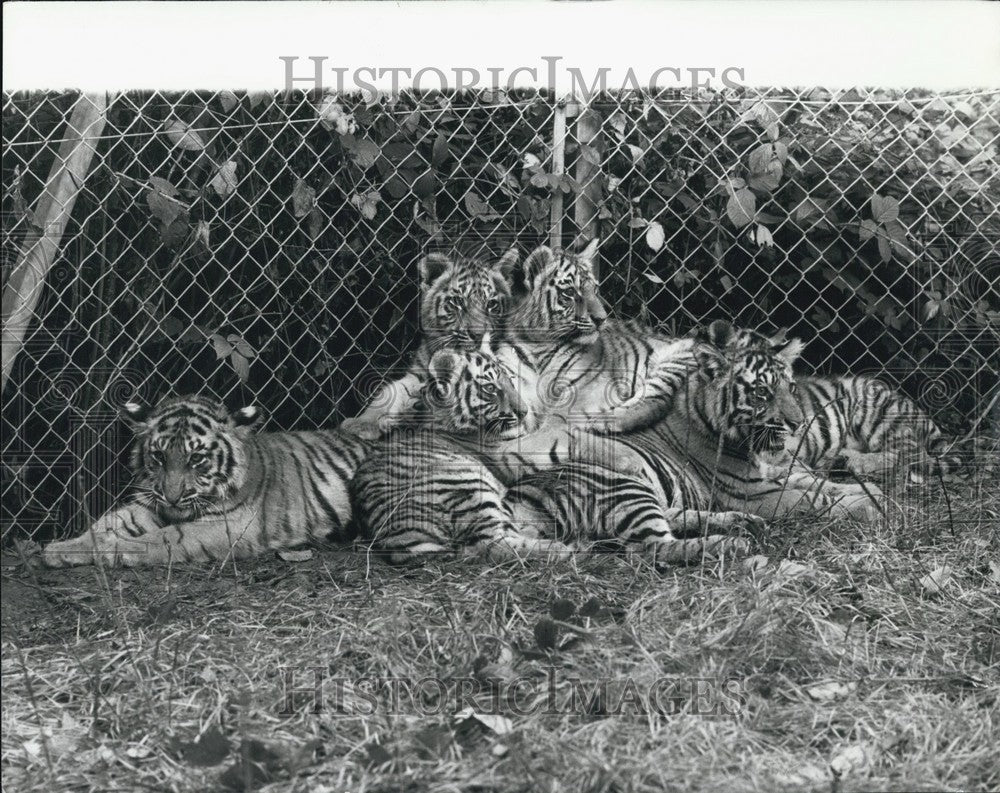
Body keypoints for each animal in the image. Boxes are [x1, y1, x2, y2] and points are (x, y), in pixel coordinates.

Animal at [41, 395, 369, 567]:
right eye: (159, 456)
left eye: (196, 458)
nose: (172, 497)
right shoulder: (150, 504)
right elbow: (106, 523)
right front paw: (62, 549)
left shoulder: (225, 525)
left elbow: (162, 537)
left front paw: (111, 549)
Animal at [340, 248, 518, 440]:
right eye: (458, 302)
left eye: (491, 304)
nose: (478, 334)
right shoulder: (418, 373)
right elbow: (389, 390)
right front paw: (361, 424)